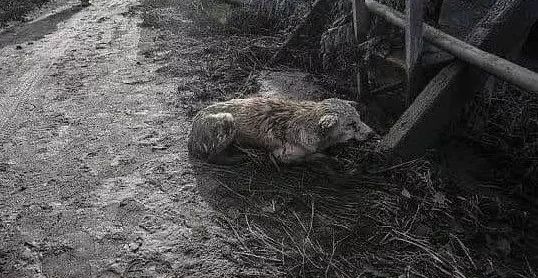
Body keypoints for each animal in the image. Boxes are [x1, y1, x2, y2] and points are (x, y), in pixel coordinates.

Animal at [187, 97, 372, 164]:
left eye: (360, 118)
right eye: (351, 124)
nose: (373, 133)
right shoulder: (282, 155)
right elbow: (314, 157)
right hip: (227, 119)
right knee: (213, 157)